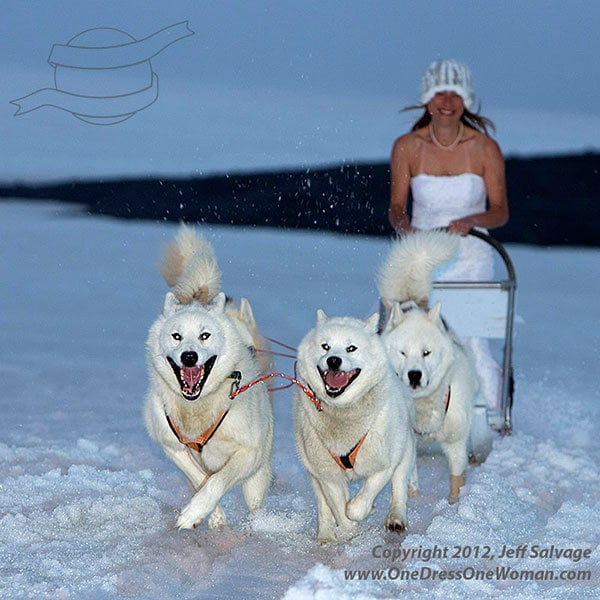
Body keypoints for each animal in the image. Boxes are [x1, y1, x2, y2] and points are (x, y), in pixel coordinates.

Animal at [144, 225, 274, 528]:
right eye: (176, 336)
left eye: (205, 335)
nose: (189, 357)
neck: (197, 407)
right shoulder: (171, 445)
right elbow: (200, 478)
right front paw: (210, 514)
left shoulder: (248, 454)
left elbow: (217, 481)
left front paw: (195, 511)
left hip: (257, 477)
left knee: (254, 500)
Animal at [292, 310, 414, 544]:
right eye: (325, 346)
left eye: (351, 348)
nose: (333, 360)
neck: (342, 412)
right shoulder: (327, 475)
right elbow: (340, 510)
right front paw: (349, 530)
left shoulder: (384, 465)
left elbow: (357, 507)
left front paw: (365, 511)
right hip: (312, 470)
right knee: (324, 507)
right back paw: (326, 535)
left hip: (404, 451)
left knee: (399, 487)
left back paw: (396, 518)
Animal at [380, 230, 478, 502]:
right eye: (403, 352)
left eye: (426, 352)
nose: (414, 375)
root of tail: (411, 302)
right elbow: (405, 470)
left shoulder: (456, 442)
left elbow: (457, 477)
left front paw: (454, 504)